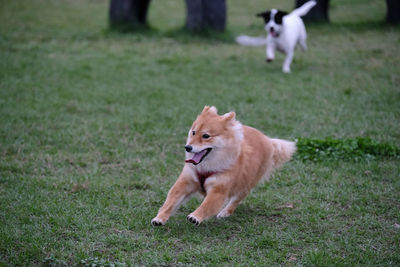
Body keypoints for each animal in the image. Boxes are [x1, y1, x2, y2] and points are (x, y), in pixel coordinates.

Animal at [152, 105, 296, 227]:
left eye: (206, 136)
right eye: (193, 132)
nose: (187, 147)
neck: (206, 166)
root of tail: (268, 140)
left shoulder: (218, 191)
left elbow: (206, 206)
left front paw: (195, 216)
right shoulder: (185, 182)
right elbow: (170, 202)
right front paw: (159, 218)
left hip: (245, 184)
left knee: (236, 200)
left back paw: (225, 212)